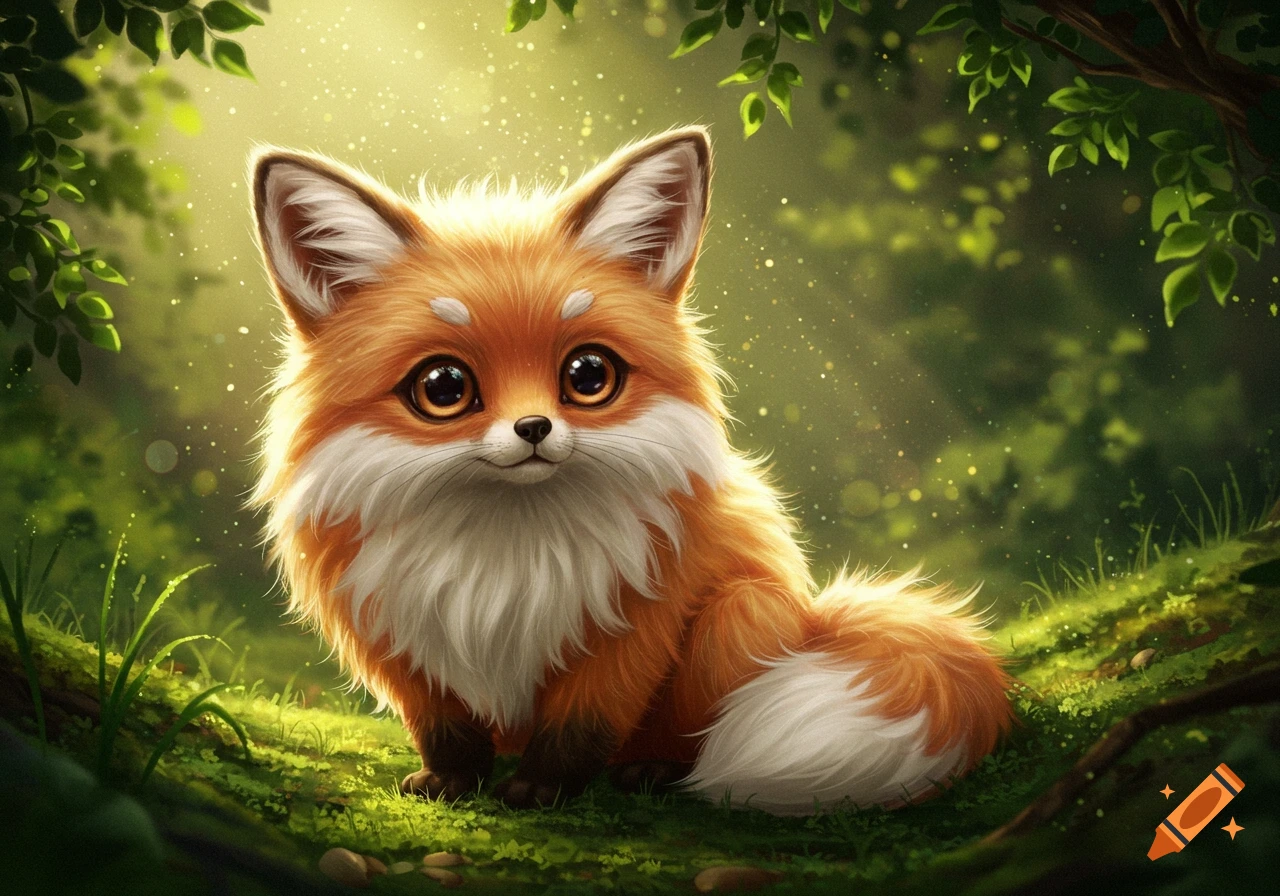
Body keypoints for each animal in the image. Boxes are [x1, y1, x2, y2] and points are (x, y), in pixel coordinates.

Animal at [247, 127, 1012, 815]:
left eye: (588, 376)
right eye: (444, 387)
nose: (533, 429)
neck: (506, 553)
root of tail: (812, 617)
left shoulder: (631, 629)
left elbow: (578, 729)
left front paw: (543, 791)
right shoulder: (400, 638)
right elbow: (445, 730)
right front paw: (454, 783)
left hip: (738, 613)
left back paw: (656, 771)